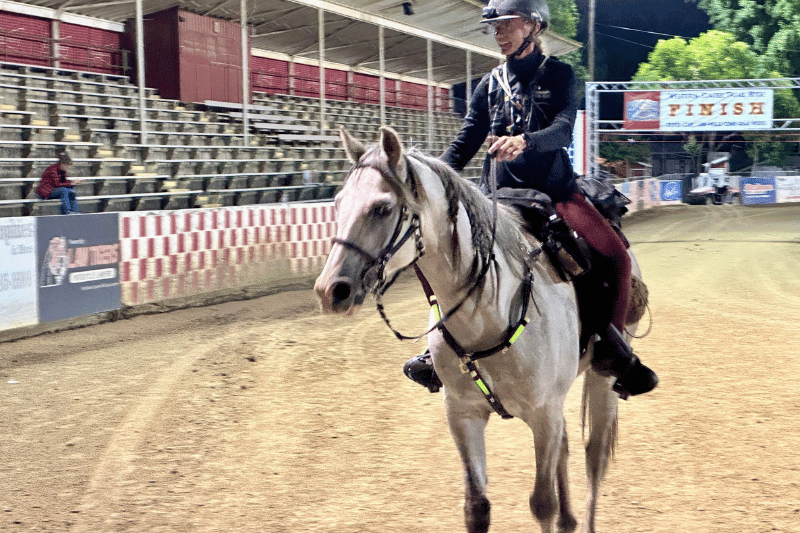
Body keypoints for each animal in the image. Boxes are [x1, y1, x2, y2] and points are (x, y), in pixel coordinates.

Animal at [312, 124, 644, 532]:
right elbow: (477, 505)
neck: (488, 313)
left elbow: (542, 503)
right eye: (338, 203)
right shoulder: (463, 414)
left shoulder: (543, 413)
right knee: (566, 452)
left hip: (601, 381)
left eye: (381, 208)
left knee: (593, 458)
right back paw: (569, 520)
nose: (331, 290)